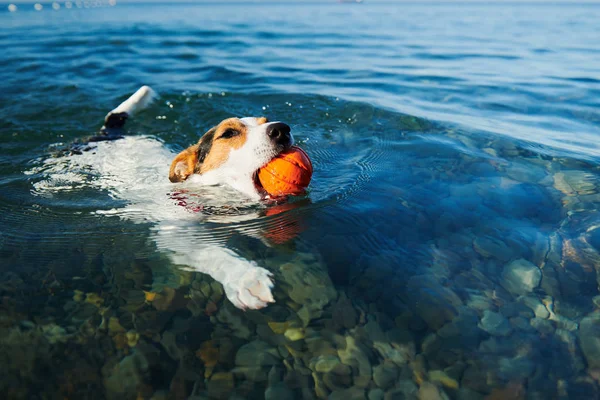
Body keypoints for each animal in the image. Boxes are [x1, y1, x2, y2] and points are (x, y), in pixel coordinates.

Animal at [28, 85, 300, 310]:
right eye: (229, 133)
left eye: (266, 121)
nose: (282, 129)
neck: (210, 195)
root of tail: (110, 135)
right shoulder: (177, 235)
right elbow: (213, 252)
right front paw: (245, 277)